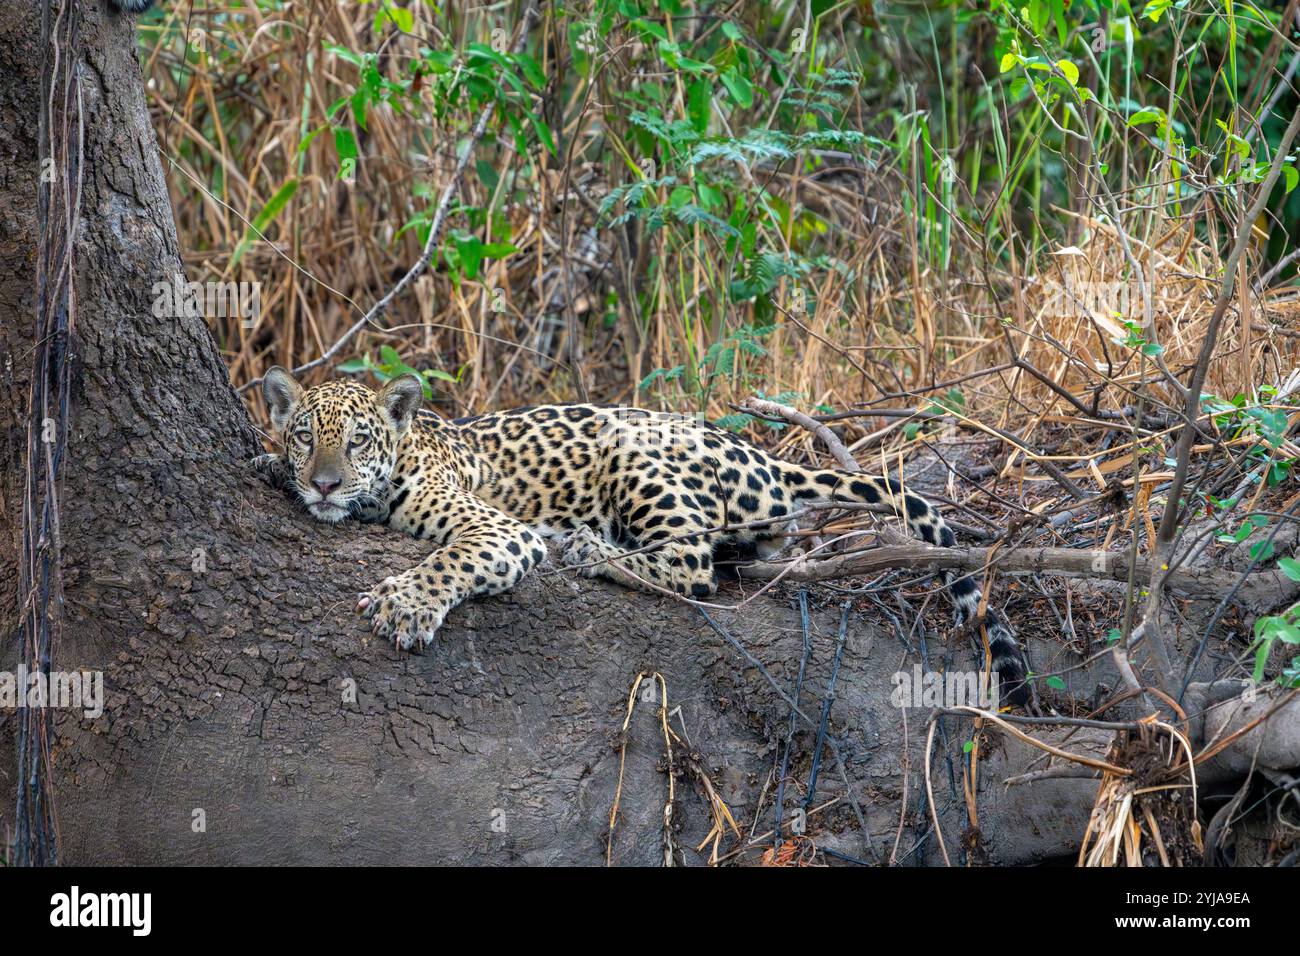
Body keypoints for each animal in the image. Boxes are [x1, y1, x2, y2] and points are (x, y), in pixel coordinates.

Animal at [254, 366, 1031, 704]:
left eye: (357, 441)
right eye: (306, 436)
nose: (324, 484)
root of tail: (764, 455)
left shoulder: (500, 530)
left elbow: (454, 556)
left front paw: (407, 603)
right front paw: (268, 465)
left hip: (636, 455)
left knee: (692, 566)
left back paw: (594, 550)